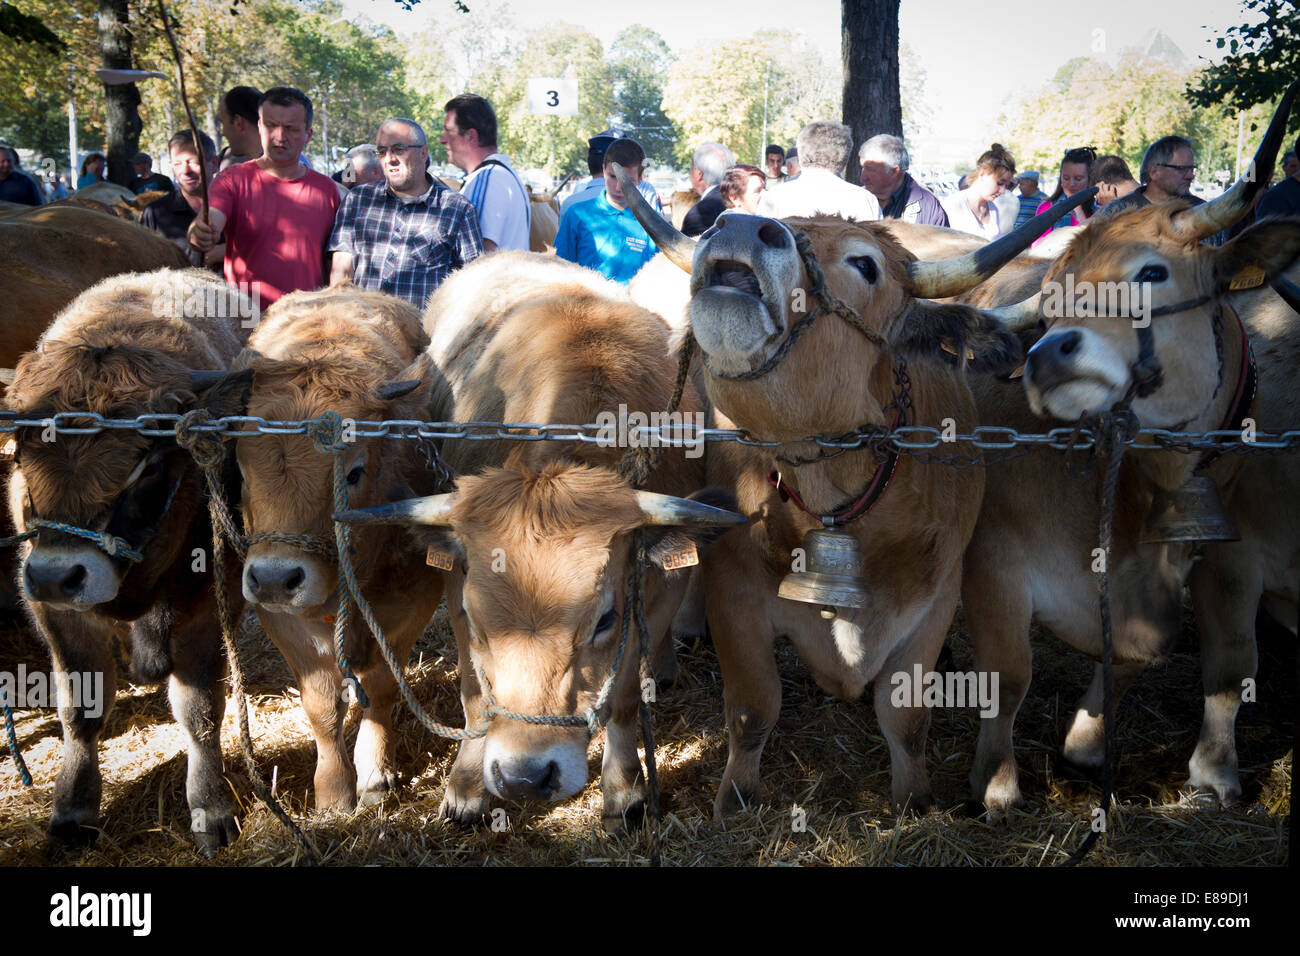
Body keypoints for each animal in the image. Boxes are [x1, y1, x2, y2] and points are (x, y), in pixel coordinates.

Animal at [3, 267, 250, 853]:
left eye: (148, 463)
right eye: (20, 451)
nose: (57, 575)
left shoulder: (208, 602)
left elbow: (200, 711)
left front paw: (210, 805)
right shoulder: (53, 611)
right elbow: (81, 708)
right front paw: (73, 807)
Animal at [232, 283, 452, 806]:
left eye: (353, 473)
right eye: (242, 472)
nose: (274, 578)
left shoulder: (414, 600)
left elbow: (384, 685)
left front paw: (373, 771)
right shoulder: (278, 617)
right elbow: (320, 703)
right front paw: (332, 790)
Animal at [335, 252, 743, 832]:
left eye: (605, 619)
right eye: (476, 615)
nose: (525, 777)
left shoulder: (659, 588)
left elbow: (622, 699)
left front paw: (624, 794)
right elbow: (476, 696)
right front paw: (467, 790)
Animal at [613, 162, 1081, 816]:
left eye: (866, 264)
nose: (737, 225)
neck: (830, 491)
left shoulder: (935, 597)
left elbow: (906, 717)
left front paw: (915, 801)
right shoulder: (737, 591)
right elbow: (753, 708)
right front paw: (735, 798)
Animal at [967, 83, 1300, 816]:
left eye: (1151, 272)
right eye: (1051, 301)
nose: (1043, 356)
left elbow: (1160, 655)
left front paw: (1093, 745)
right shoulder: (995, 556)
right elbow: (1008, 673)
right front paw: (998, 786)